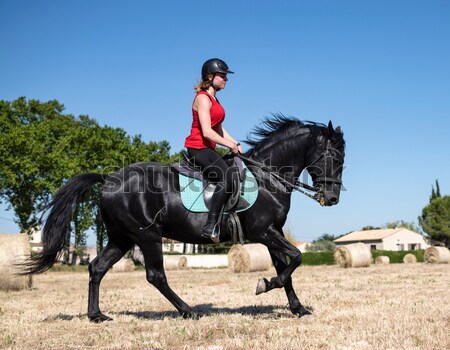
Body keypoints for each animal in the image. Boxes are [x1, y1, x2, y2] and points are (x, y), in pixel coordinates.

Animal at [23, 116, 344, 322]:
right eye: (335, 158)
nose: (332, 198)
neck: (267, 177)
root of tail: (108, 179)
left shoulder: (272, 233)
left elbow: (286, 267)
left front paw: (297, 308)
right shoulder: (264, 231)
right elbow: (295, 259)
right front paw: (264, 285)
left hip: (121, 238)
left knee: (96, 268)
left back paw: (97, 315)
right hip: (147, 236)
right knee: (156, 276)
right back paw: (189, 311)